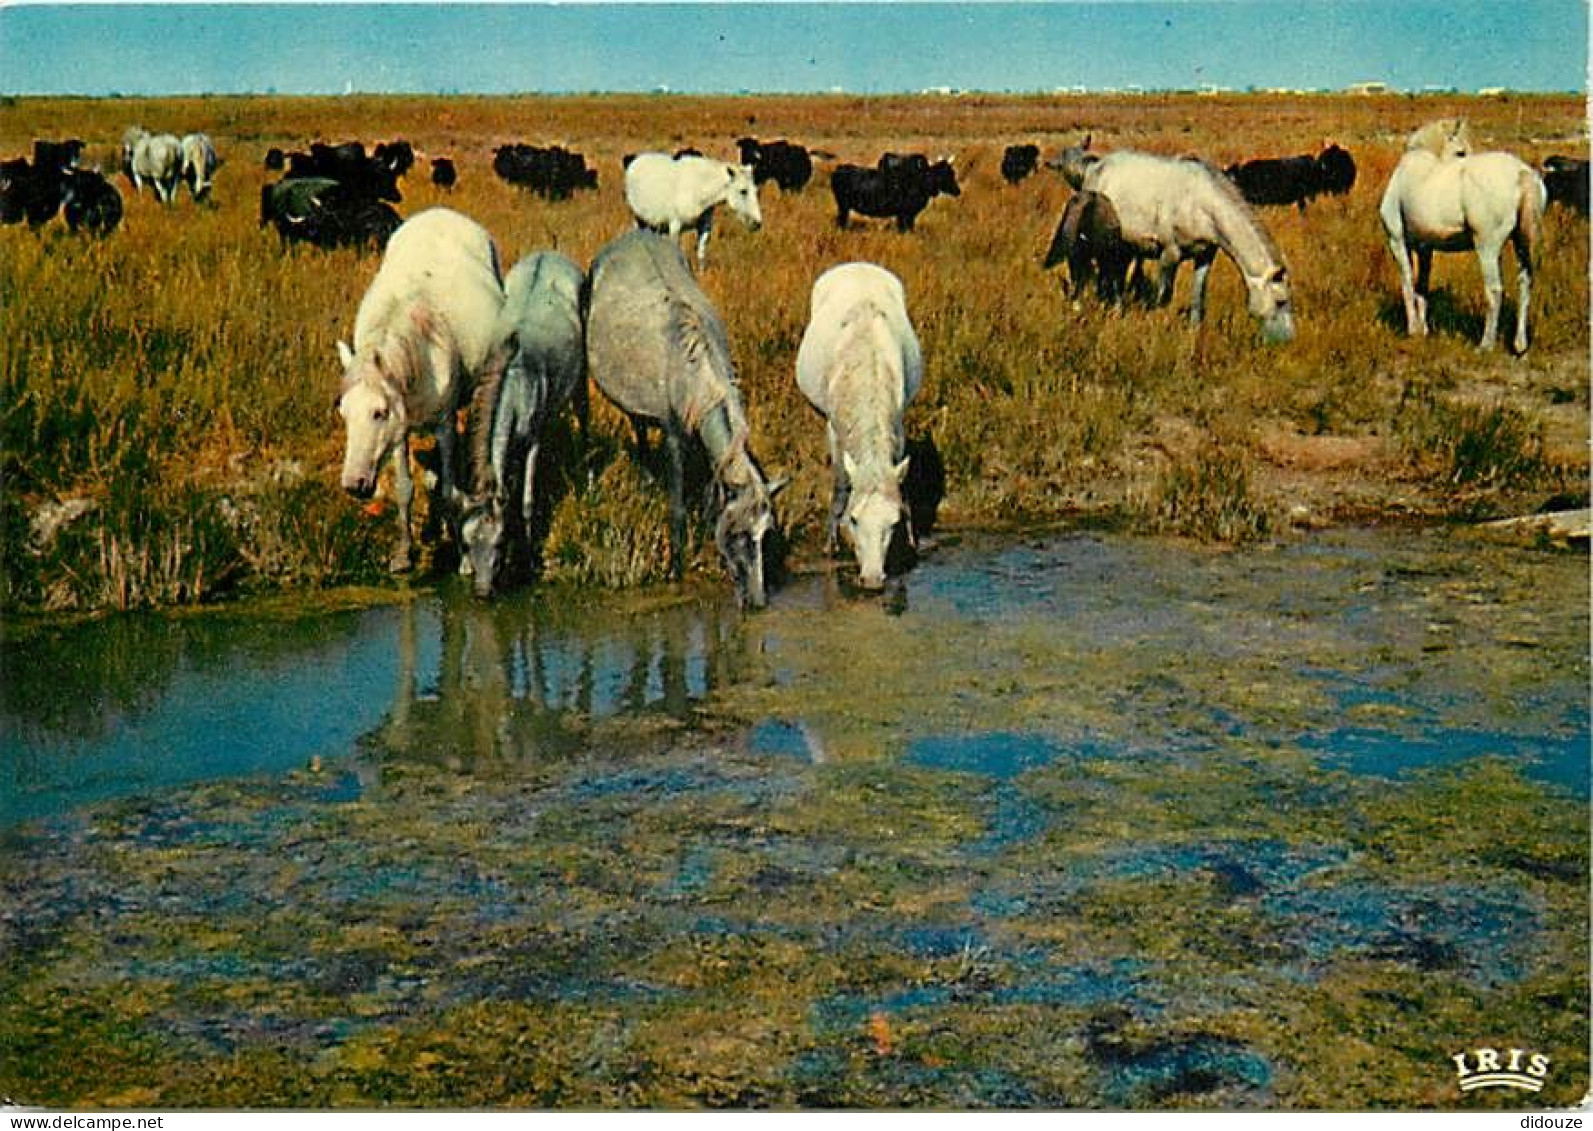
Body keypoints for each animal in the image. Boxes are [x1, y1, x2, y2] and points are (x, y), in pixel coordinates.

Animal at [334, 207, 503, 570]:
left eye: (378, 413)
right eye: (344, 414)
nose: (354, 485)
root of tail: (442, 212)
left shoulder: (443, 423)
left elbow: (449, 491)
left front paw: (464, 559)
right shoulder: (402, 429)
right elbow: (404, 488)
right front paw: (403, 553)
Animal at [618, 152, 761, 267]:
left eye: (756, 191)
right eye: (743, 191)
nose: (757, 224)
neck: (699, 189)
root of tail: (634, 160)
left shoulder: (704, 227)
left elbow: (701, 254)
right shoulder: (675, 225)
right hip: (637, 218)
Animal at [793, 259, 923, 589]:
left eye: (893, 522)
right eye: (854, 519)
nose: (873, 578)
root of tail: (858, 265)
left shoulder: (898, 426)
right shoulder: (834, 431)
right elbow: (840, 485)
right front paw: (831, 543)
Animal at [1083, 150, 1293, 345]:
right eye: (1280, 302)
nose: (1287, 341)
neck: (1199, 203)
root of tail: (1095, 167)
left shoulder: (1205, 257)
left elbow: (1197, 297)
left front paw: (1193, 333)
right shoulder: (1170, 254)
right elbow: (1164, 297)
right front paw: (1156, 330)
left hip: (1125, 247)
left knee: (1116, 276)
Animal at [1376, 117, 1548, 352]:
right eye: (1461, 152)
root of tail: (1522, 173)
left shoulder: (1397, 241)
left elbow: (1408, 282)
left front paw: (1413, 330)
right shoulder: (1425, 248)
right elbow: (1422, 286)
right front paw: (1424, 330)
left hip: (1487, 248)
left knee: (1494, 291)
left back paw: (1485, 345)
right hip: (1521, 244)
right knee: (1525, 282)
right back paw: (1519, 344)